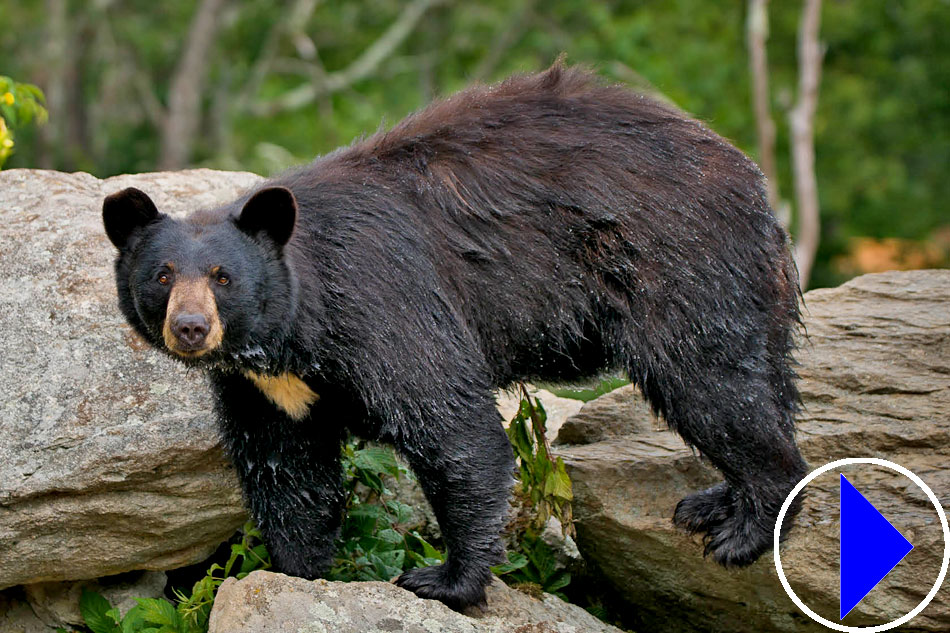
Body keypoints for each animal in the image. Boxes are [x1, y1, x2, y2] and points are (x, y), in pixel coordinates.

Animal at [102, 63, 804, 608]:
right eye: (163, 274)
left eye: (222, 277)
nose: (191, 328)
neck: (293, 335)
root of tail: (752, 181)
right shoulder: (262, 388)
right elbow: (286, 470)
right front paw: (297, 571)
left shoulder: (383, 305)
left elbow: (452, 429)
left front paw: (446, 580)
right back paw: (716, 502)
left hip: (679, 268)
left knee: (710, 386)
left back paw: (744, 529)